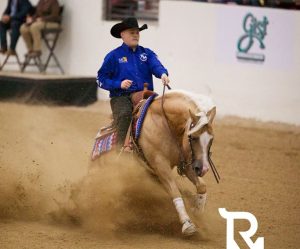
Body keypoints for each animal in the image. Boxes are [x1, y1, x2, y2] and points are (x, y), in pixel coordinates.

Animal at [136, 89, 216, 235]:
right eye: (193, 137)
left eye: (211, 139)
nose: (204, 169)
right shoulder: (160, 165)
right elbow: (175, 192)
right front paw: (187, 223)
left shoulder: (188, 164)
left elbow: (202, 186)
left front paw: (197, 211)